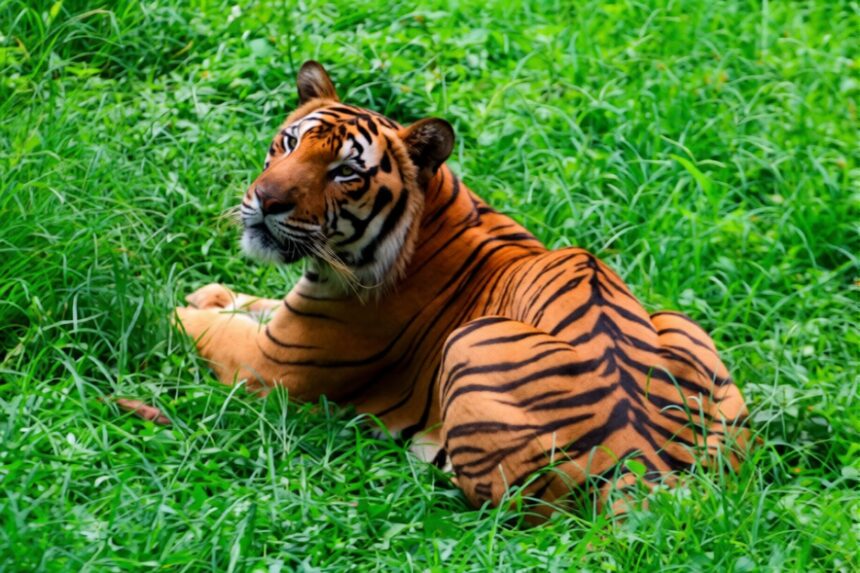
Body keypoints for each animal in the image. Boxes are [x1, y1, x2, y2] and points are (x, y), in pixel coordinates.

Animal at [175, 61, 749, 520]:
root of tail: (646, 464)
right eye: (290, 142)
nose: (265, 199)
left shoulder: (272, 364)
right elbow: (246, 305)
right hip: (679, 323)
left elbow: (184, 323)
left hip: (473, 341)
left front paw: (179, 305)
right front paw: (211, 293)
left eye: (345, 172)